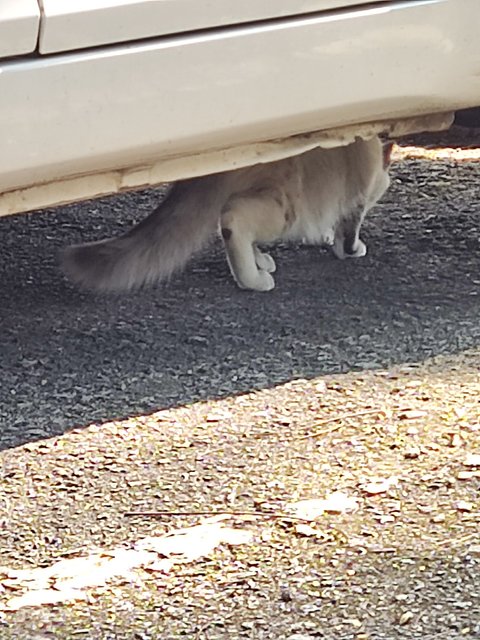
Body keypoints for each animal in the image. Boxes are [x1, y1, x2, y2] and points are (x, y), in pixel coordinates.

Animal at [62, 139, 394, 294]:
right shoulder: (364, 192)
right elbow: (350, 227)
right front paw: (350, 249)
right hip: (287, 205)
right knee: (234, 218)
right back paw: (254, 280)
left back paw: (260, 262)